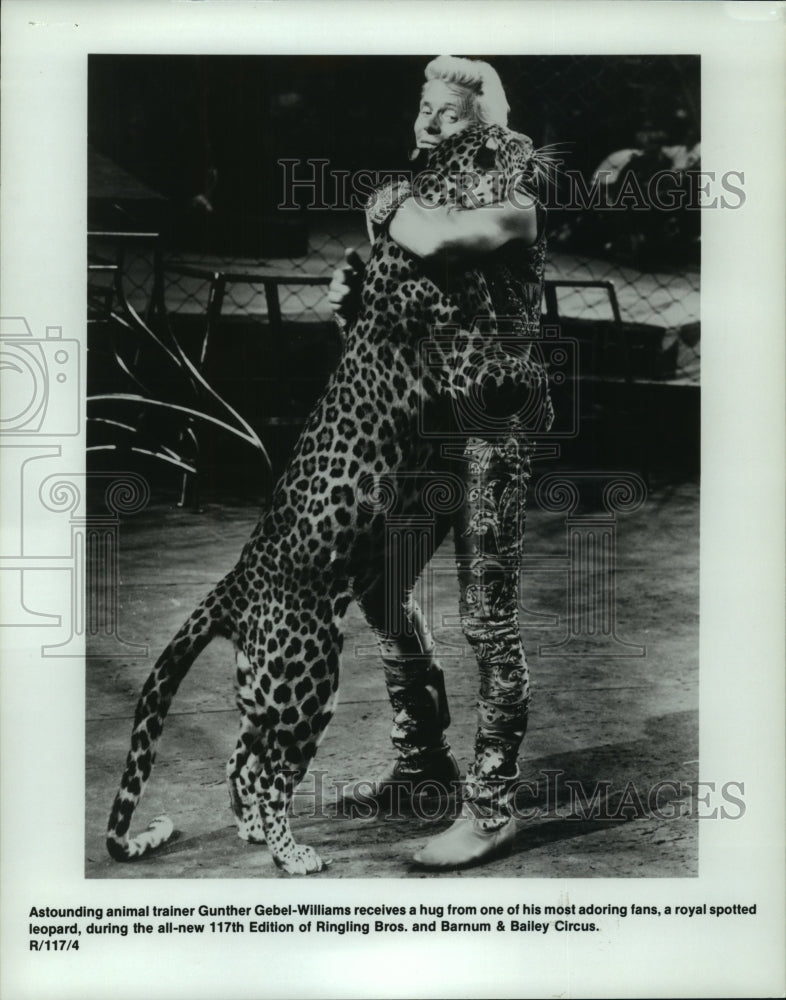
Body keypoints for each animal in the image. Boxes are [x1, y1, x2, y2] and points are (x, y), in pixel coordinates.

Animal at [104, 123, 548, 876]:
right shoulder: (472, 363)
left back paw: (255, 832)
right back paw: (291, 853)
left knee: (243, 760)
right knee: (271, 772)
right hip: (305, 676)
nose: (536, 147)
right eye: (508, 140)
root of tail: (237, 580)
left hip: (265, 686)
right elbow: (493, 333)